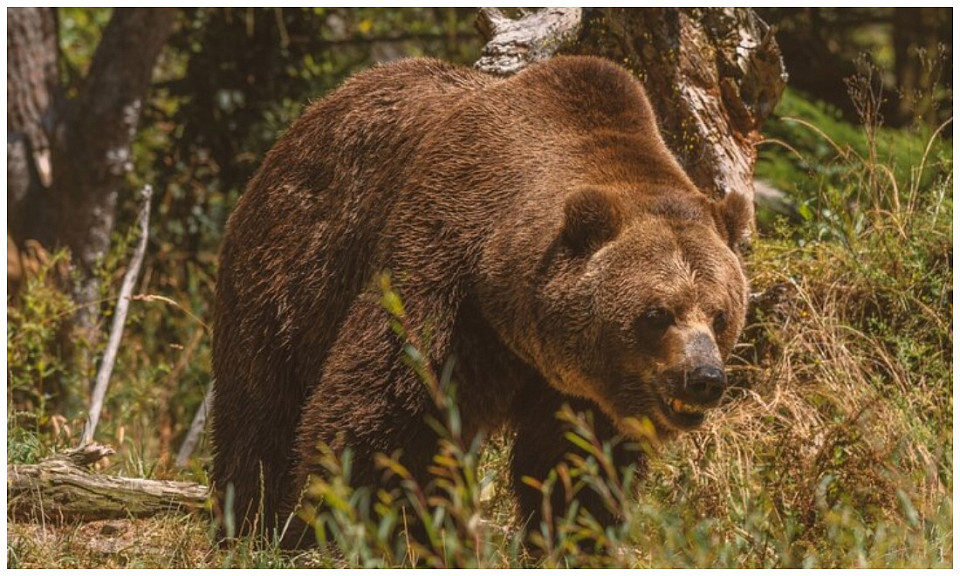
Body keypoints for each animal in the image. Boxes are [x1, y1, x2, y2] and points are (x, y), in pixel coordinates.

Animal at [210, 56, 752, 548]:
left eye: (720, 314)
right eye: (657, 313)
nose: (704, 377)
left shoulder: (578, 389)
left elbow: (575, 462)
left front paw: (576, 535)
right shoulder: (444, 281)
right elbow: (389, 413)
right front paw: (363, 527)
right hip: (291, 274)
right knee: (260, 408)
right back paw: (250, 524)